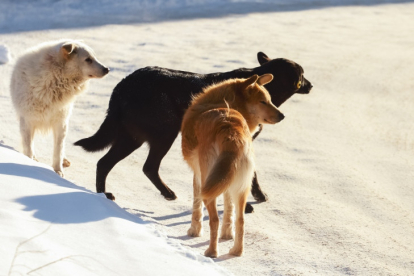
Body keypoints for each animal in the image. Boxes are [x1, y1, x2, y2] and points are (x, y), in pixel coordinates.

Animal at [10, 39, 109, 177]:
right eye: (88, 59)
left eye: (94, 57)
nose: (107, 69)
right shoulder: (27, 120)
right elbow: (28, 147)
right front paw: (29, 162)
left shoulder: (61, 122)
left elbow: (58, 150)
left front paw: (58, 171)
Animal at [76, 52, 312, 212]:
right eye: (302, 75)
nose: (310, 85)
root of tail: (122, 85)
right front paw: (246, 205)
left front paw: (257, 195)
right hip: (162, 133)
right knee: (146, 166)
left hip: (132, 136)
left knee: (105, 163)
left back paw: (103, 196)